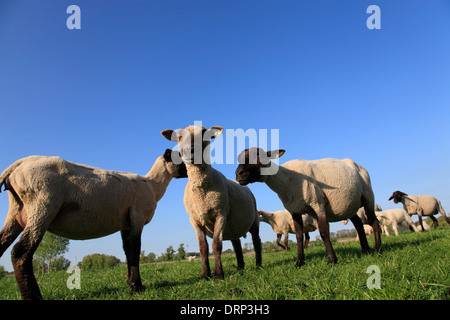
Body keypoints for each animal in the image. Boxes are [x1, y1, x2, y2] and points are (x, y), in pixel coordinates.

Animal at [0, 150, 186, 300]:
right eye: (181, 158)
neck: (153, 185)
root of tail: (17, 165)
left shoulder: (125, 224)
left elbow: (127, 250)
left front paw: (130, 283)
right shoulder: (137, 218)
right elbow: (134, 251)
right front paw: (137, 287)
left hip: (16, 212)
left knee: (2, 244)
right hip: (42, 206)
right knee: (21, 251)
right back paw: (33, 296)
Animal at [162, 125, 262, 280]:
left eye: (204, 133)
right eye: (179, 136)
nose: (190, 150)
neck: (201, 193)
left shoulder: (220, 214)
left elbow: (216, 245)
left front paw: (218, 275)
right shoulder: (194, 219)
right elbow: (203, 247)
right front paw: (205, 275)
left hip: (254, 220)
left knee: (257, 242)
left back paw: (258, 265)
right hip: (232, 226)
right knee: (237, 243)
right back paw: (240, 266)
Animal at [234, 148, 382, 268]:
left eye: (260, 156)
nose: (238, 174)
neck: (287, 180)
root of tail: (358, 165)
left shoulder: (317, 203)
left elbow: (324, 232)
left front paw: (332, 260)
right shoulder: (294, 210)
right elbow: (299, 236)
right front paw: (299, 262)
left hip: (368, 196)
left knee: (374, 221)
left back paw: (377, 249)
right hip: (350, 206)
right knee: (358, 224)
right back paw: (365, 250)